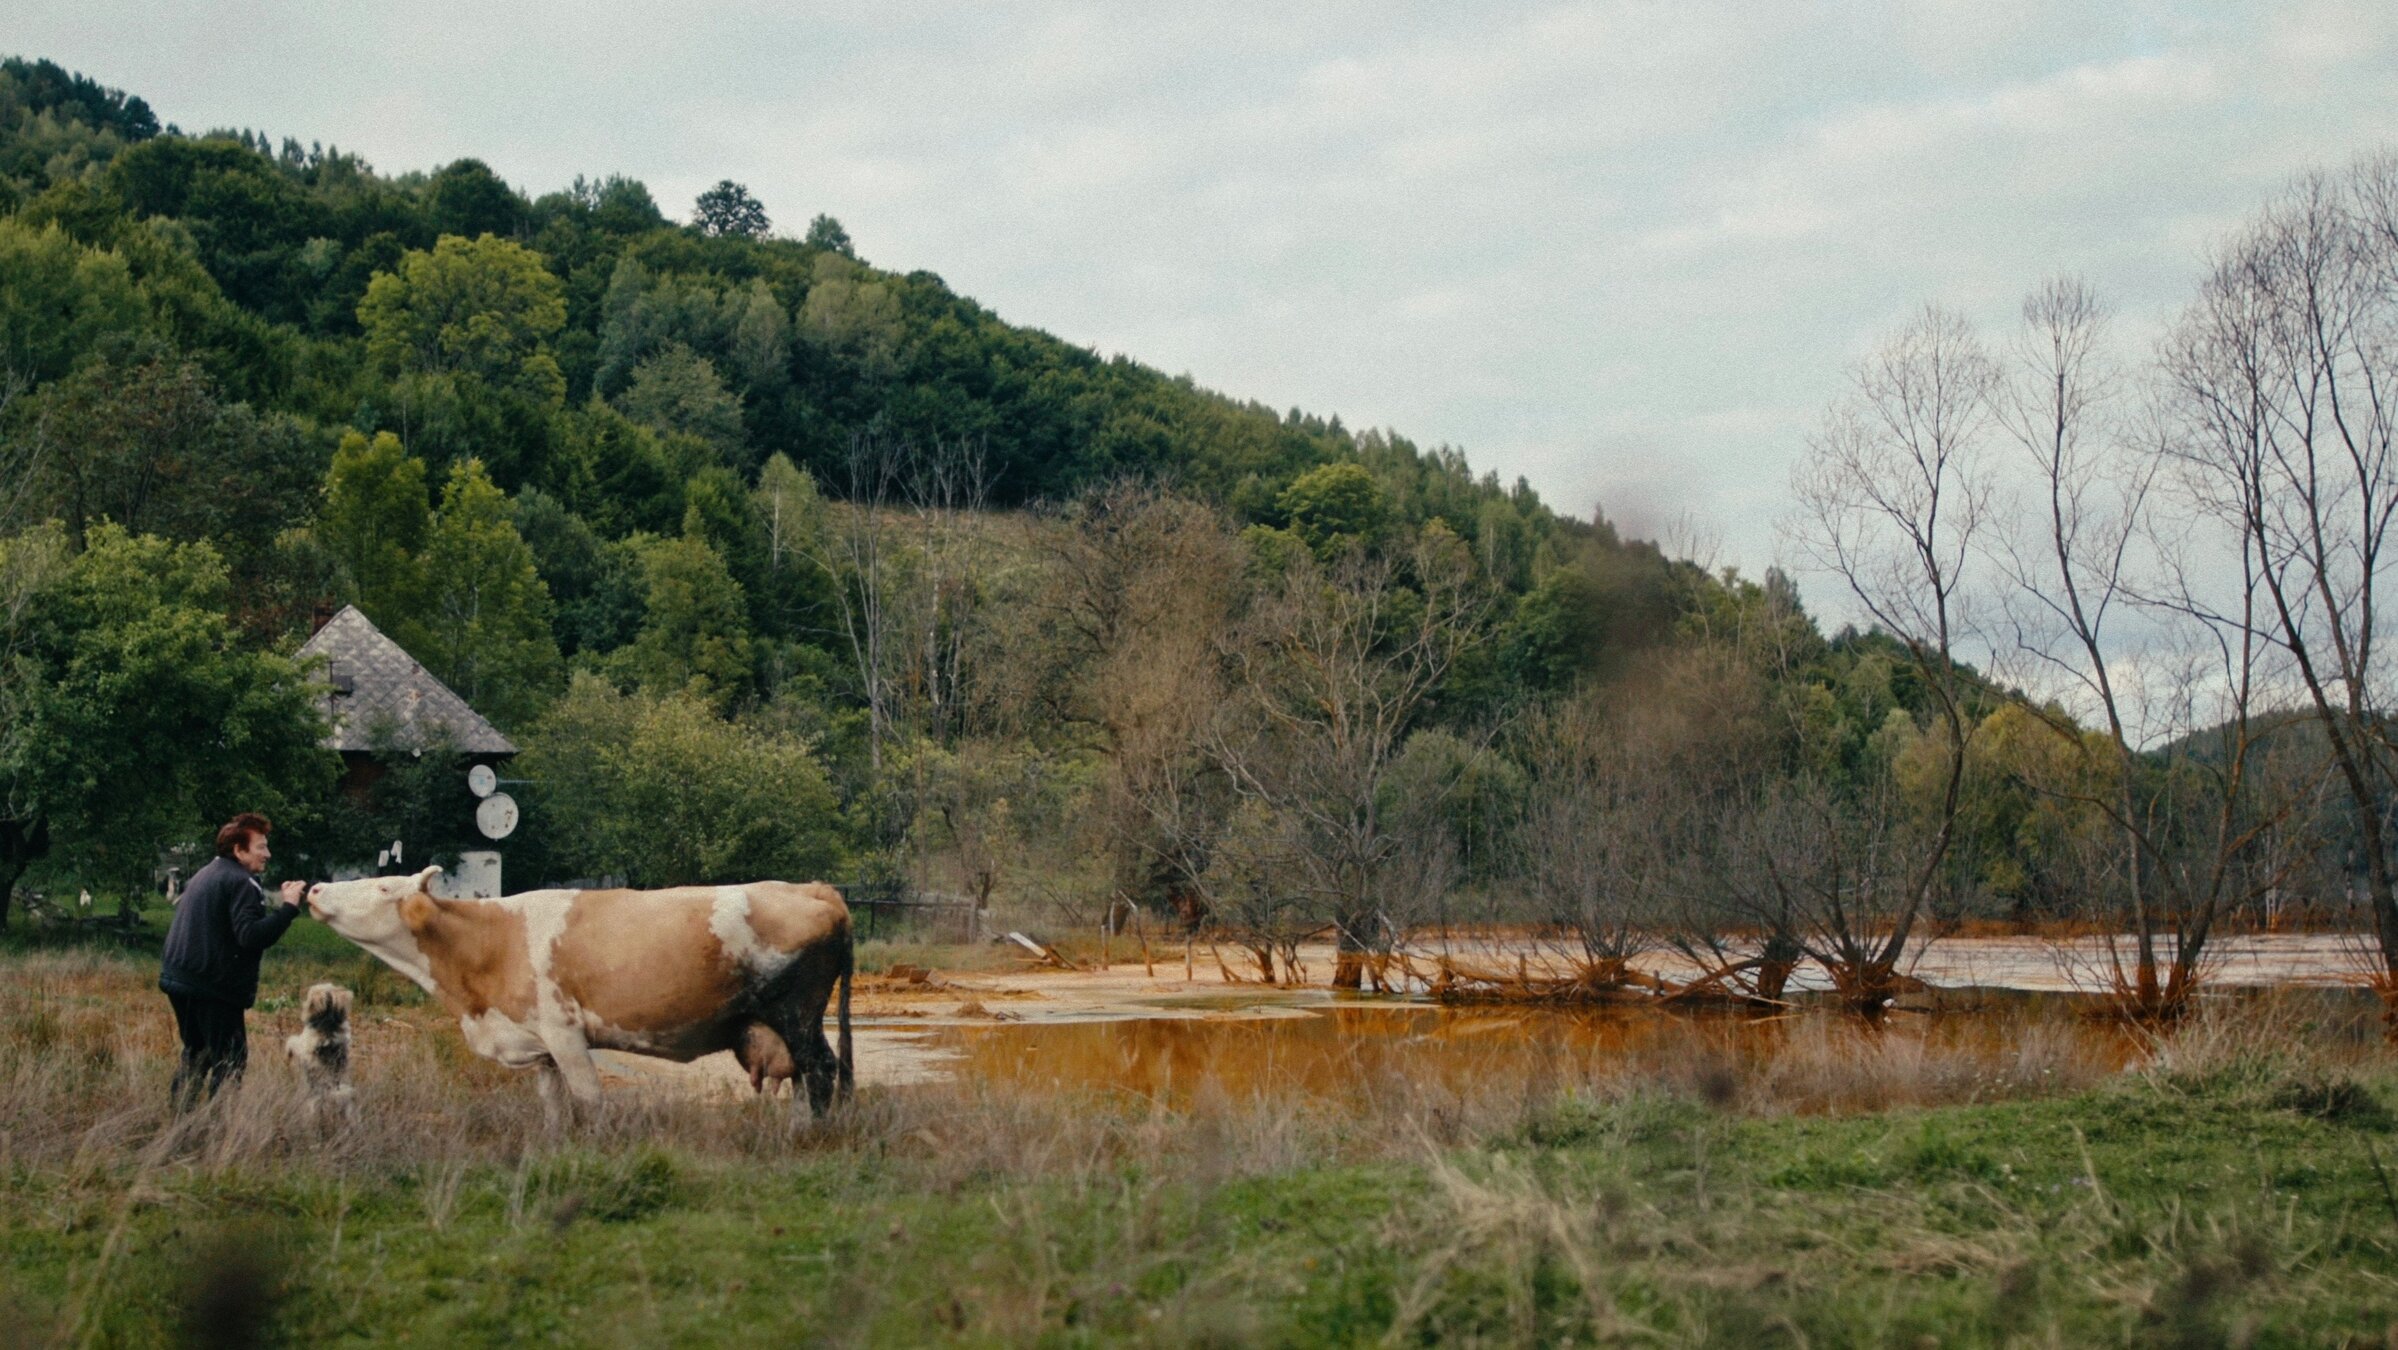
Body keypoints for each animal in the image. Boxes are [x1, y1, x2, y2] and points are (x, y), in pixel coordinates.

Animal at [303, 867, 854, 1119]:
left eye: (383, 887)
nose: (313, 889)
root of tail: (811, 888)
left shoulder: (564, 1034)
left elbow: (589, 1100)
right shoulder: (540, 1047)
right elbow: (553, 1105)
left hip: (798, 1015)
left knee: (822, 1070)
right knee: (806, 1077)